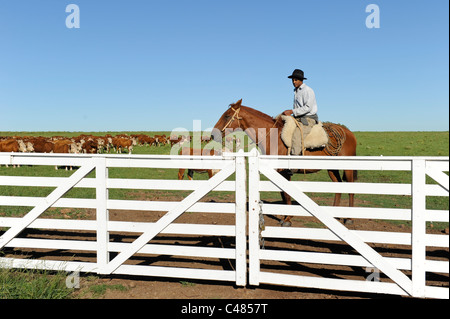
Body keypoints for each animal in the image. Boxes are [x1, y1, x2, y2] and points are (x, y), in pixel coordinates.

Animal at [212, 99, 358, 226]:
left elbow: (286, 195)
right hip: (332, 168)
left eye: (227, 116)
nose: (213, 135)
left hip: (347, 168)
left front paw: (287, 219)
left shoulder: (285, 172)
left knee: (350, 188)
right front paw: (284, 217)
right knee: (338, 186)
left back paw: (349, 218)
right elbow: (283, 194)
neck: (273, 136)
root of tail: (349, 133)